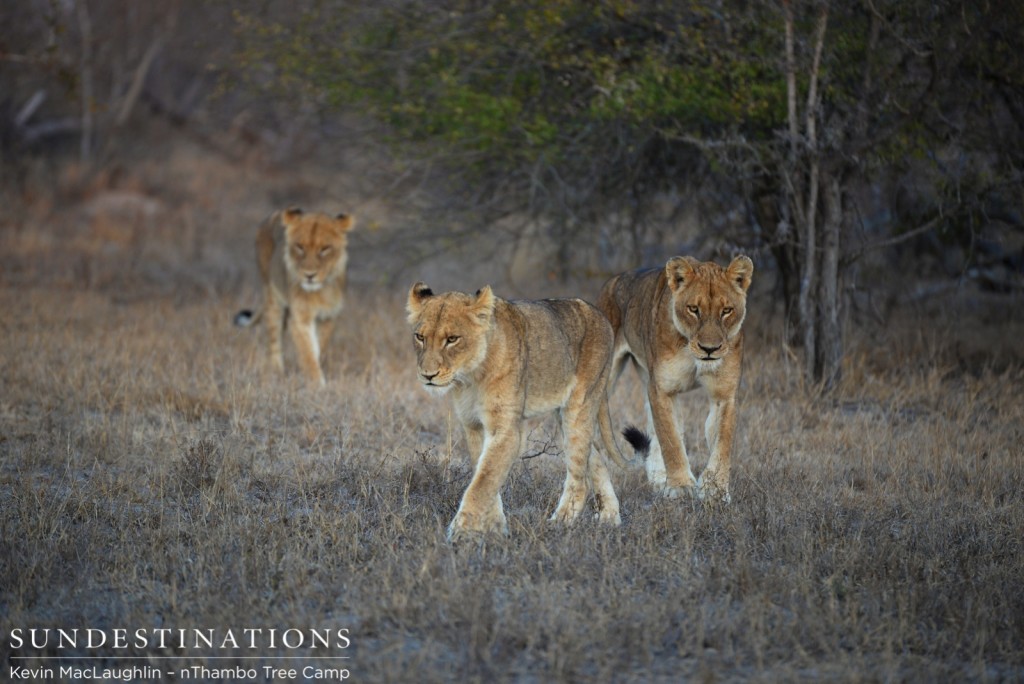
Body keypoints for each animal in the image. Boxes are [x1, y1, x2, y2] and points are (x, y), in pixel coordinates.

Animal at [234, 208, 356, 385]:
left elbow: (319, 346)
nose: (309, 275)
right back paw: (277, 372)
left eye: (325, 248)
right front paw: (317, 384)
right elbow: (307, 351)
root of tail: (276, 213)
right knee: (274, 340)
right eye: (300, 247)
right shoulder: (300, 318)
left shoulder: (329, 317)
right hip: (272, 297)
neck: (319, 292)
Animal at [405, 282, 630, 540]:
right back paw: (609, 518)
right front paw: (495, 527)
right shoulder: (473, 425)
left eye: (452, 339)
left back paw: (559, 523)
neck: (470, 377)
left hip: (579, 405)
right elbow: (486, 475)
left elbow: (483, 481)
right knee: (595, 458)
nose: (428, 375)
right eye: (420, 337)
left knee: (579, 477)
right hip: (563, 414)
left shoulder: (506, 429)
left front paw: (461, 532)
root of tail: (599, 314)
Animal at [598, 255, 753, 501]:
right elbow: (671, 439)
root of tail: (612, 281)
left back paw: (659, 479)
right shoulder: (663, 389)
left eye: (727, 310)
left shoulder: (724, 394)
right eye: (694, 309)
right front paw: (680, 488)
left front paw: (715, 490)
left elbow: (723, 442)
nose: (710, 349)